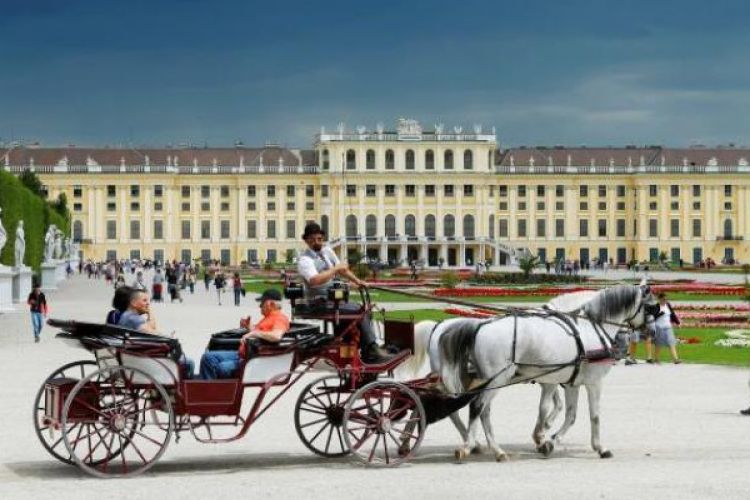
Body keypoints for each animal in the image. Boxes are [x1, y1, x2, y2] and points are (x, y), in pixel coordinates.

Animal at [402, 282, 656, 460]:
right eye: (652, 307)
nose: (651, 332)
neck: (587, 327)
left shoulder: (567, 381)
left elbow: (567, 413)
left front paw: (547, 440)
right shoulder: (590, 383)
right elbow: (591, 416)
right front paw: (599, 447)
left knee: (455, 406)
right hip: (496, 378)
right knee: (476, 408)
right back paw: (470, 446)